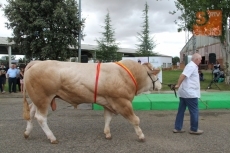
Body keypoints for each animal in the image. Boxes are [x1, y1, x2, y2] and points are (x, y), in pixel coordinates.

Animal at [22, 59, 160, 143]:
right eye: (155, 75)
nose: (159, 84)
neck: (124, 75)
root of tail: (36, 62)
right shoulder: (122, 101)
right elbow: (135, 120)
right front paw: (141, 136)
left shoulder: (108, 102)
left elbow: (108, 118)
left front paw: (107, 133)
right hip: (43, 98)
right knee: (40, 117)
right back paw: (52, 137)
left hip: (37, 99)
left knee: (31, 113)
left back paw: (27, 133)